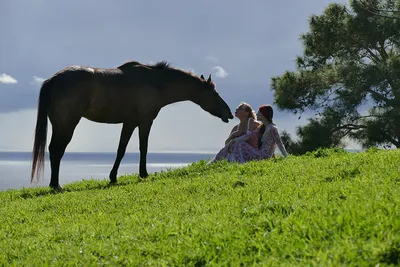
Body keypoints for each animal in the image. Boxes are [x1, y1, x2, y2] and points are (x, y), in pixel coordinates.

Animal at [31, 60, 234, 191]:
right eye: (215, 93)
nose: (230, 114)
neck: (155, 82)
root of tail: (53, 79)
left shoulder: (129, 123)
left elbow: (121, 149)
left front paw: (113, 177)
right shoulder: (145, 121)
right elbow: (143, 147)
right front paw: (143, 173)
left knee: (53, 149)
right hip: (67, 125)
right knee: (57, 150)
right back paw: (56, 185)